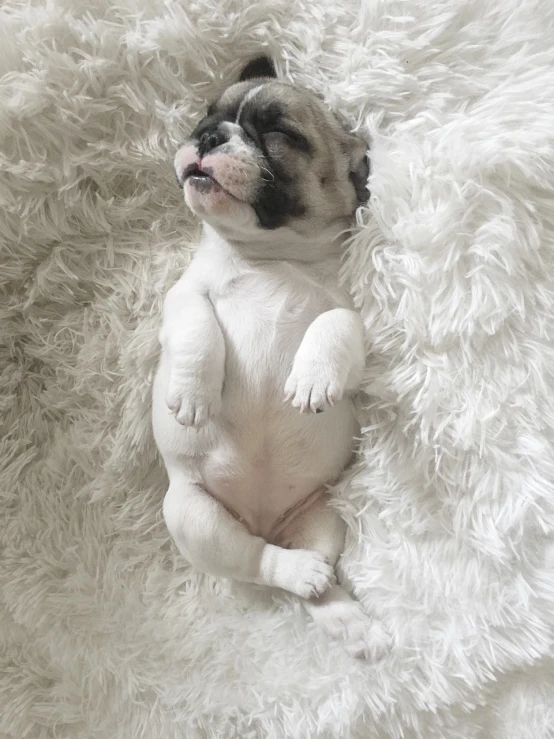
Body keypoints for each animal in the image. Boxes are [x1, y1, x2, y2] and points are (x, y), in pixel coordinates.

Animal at [151, 57, 388, 660]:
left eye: (280, 134)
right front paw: (193, 395)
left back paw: (343, 612)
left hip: (323, 515)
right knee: (254, 561)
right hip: (192, 517)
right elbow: (196, 328)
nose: (208, 137)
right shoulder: (183, 296)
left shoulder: (351, 316)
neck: (270, 255)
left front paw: (312, 381)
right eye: (204, 117)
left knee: (309, 573)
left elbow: (333, 326)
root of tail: (263, 524)